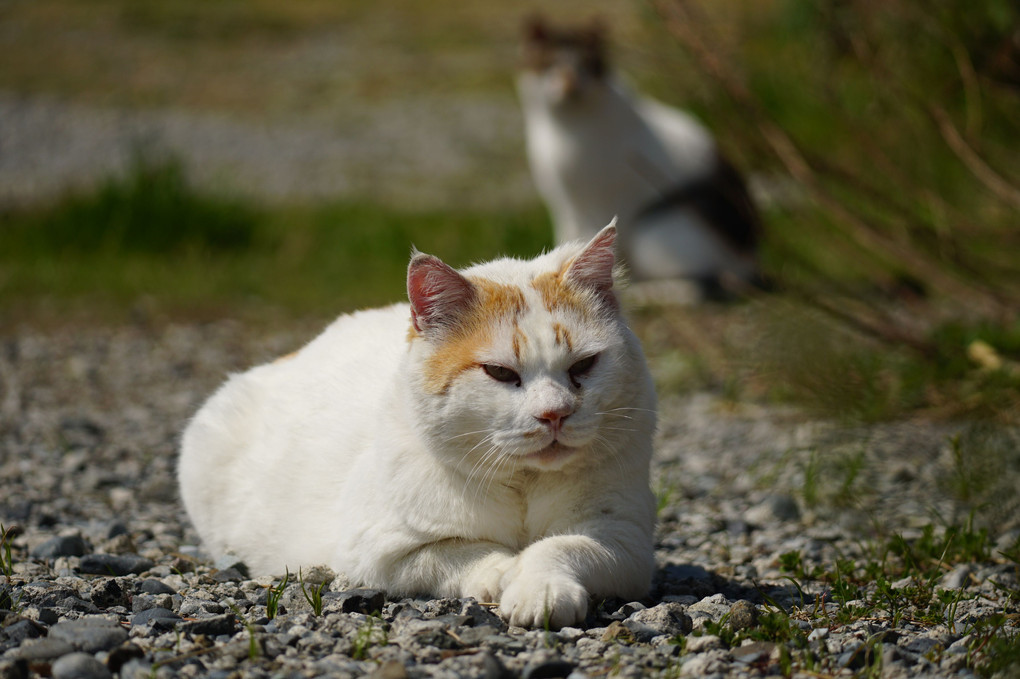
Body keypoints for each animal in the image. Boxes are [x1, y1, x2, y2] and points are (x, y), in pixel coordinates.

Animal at [176, 223, 656, 628]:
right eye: (500, 373)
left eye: (584, 366)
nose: (555, 413)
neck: (522, 483)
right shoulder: (385, 553)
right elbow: (467, 553)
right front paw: (507, 573)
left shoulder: (625, 541)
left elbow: (562, 546)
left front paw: (539, 587)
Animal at [518, 15, 767, 295]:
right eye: (550, 63)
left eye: (587, 64)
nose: (571, 85)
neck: (562, 128)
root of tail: (750, 258)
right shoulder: (562, 200)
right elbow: (565, 237)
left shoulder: (598, 201)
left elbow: (585, 238)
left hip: (653, 234)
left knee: (705, 281)